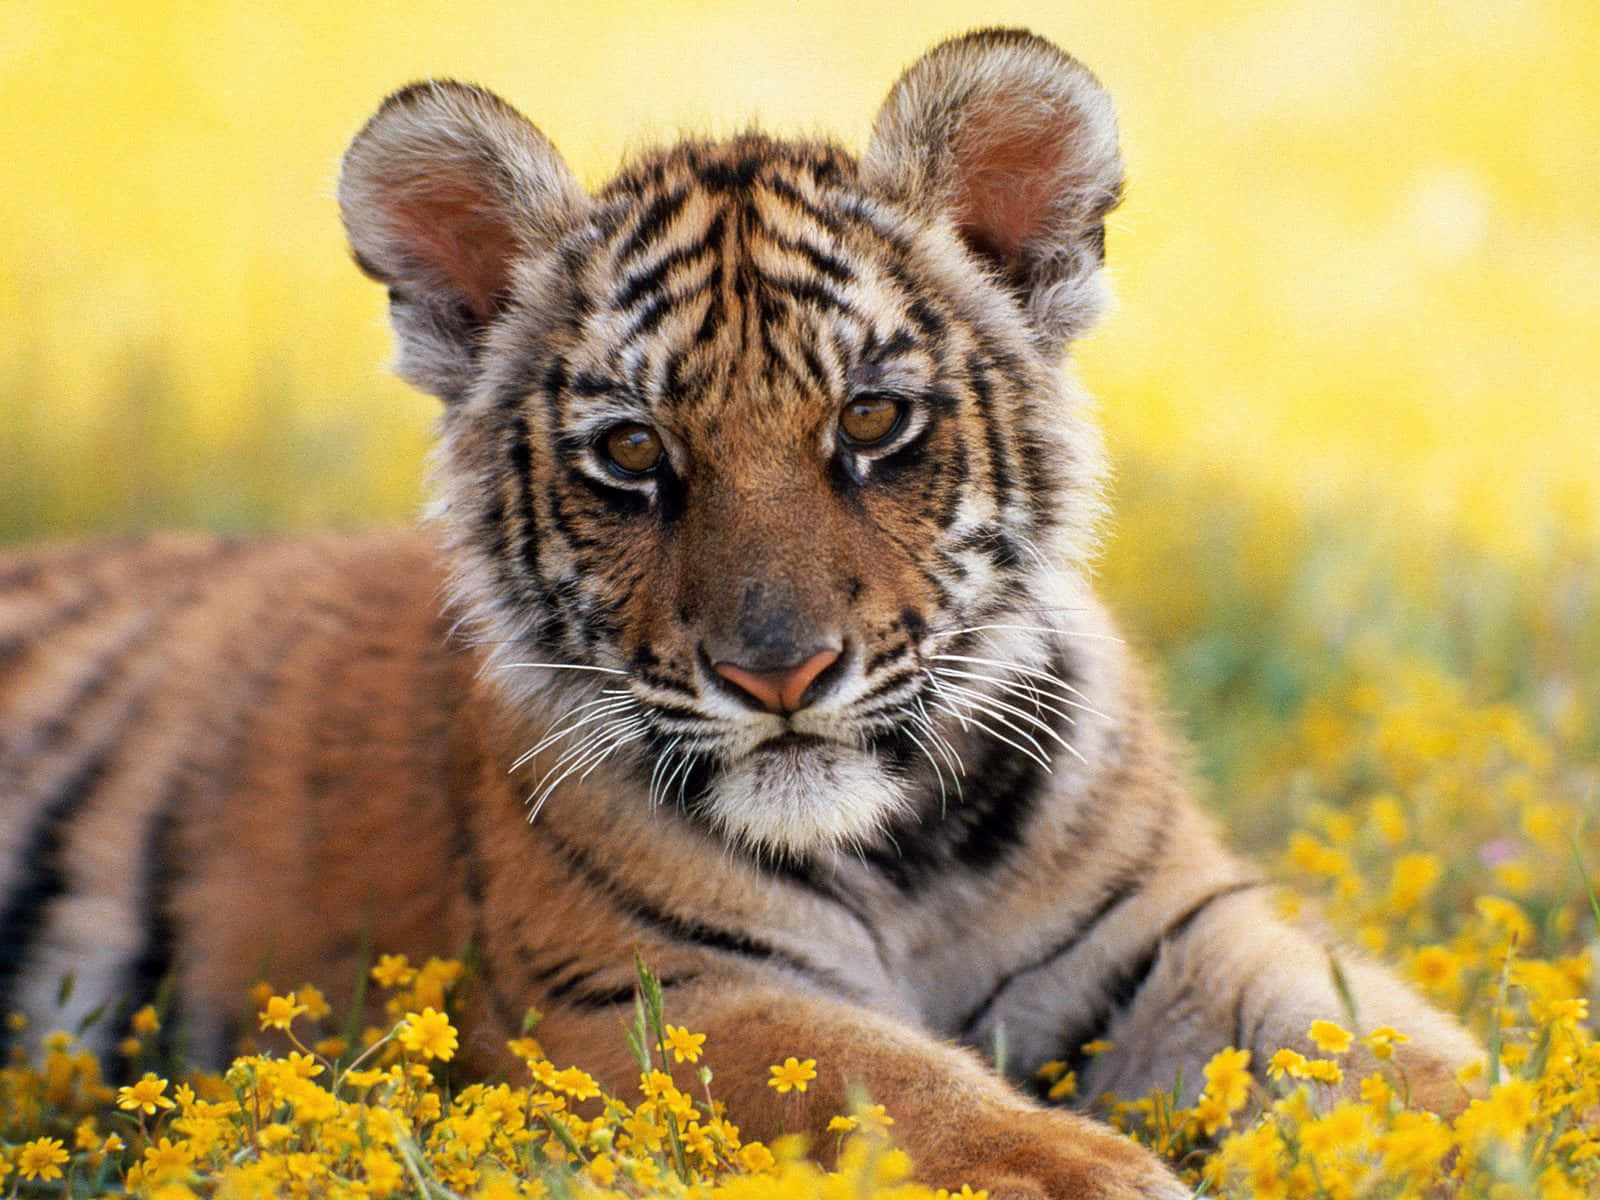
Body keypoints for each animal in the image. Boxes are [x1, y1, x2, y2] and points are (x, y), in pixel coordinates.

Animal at [0, 28, 1479, 1198]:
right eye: (632, 452)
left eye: (872, 422)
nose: (779, 675)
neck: (905, 854)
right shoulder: (646, 996)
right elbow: (895, 1086)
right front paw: (1098, 1176)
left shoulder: (1171, 934)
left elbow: (1396, 1050)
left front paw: (1491, 1133)